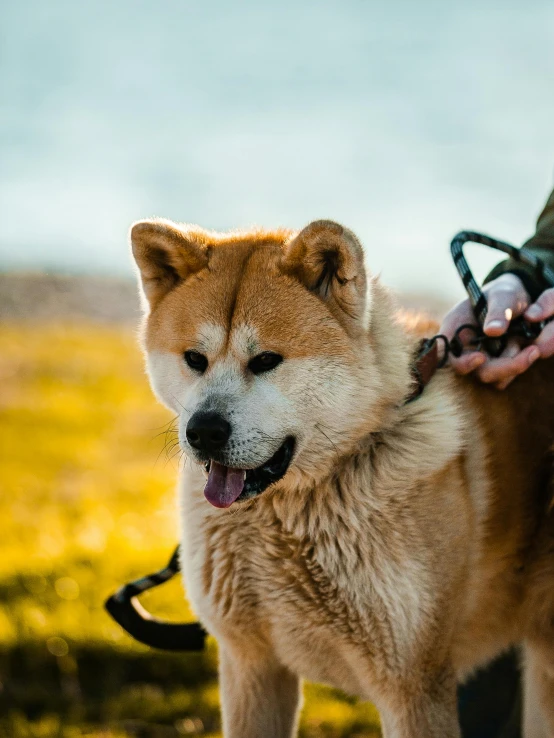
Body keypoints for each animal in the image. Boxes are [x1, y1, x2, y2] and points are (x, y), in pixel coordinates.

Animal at [128, 218, 552, 736]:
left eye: (266, 360)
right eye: (194, 359)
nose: (204, 431)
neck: (288, 512)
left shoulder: (414, 687)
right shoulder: (251, 664)